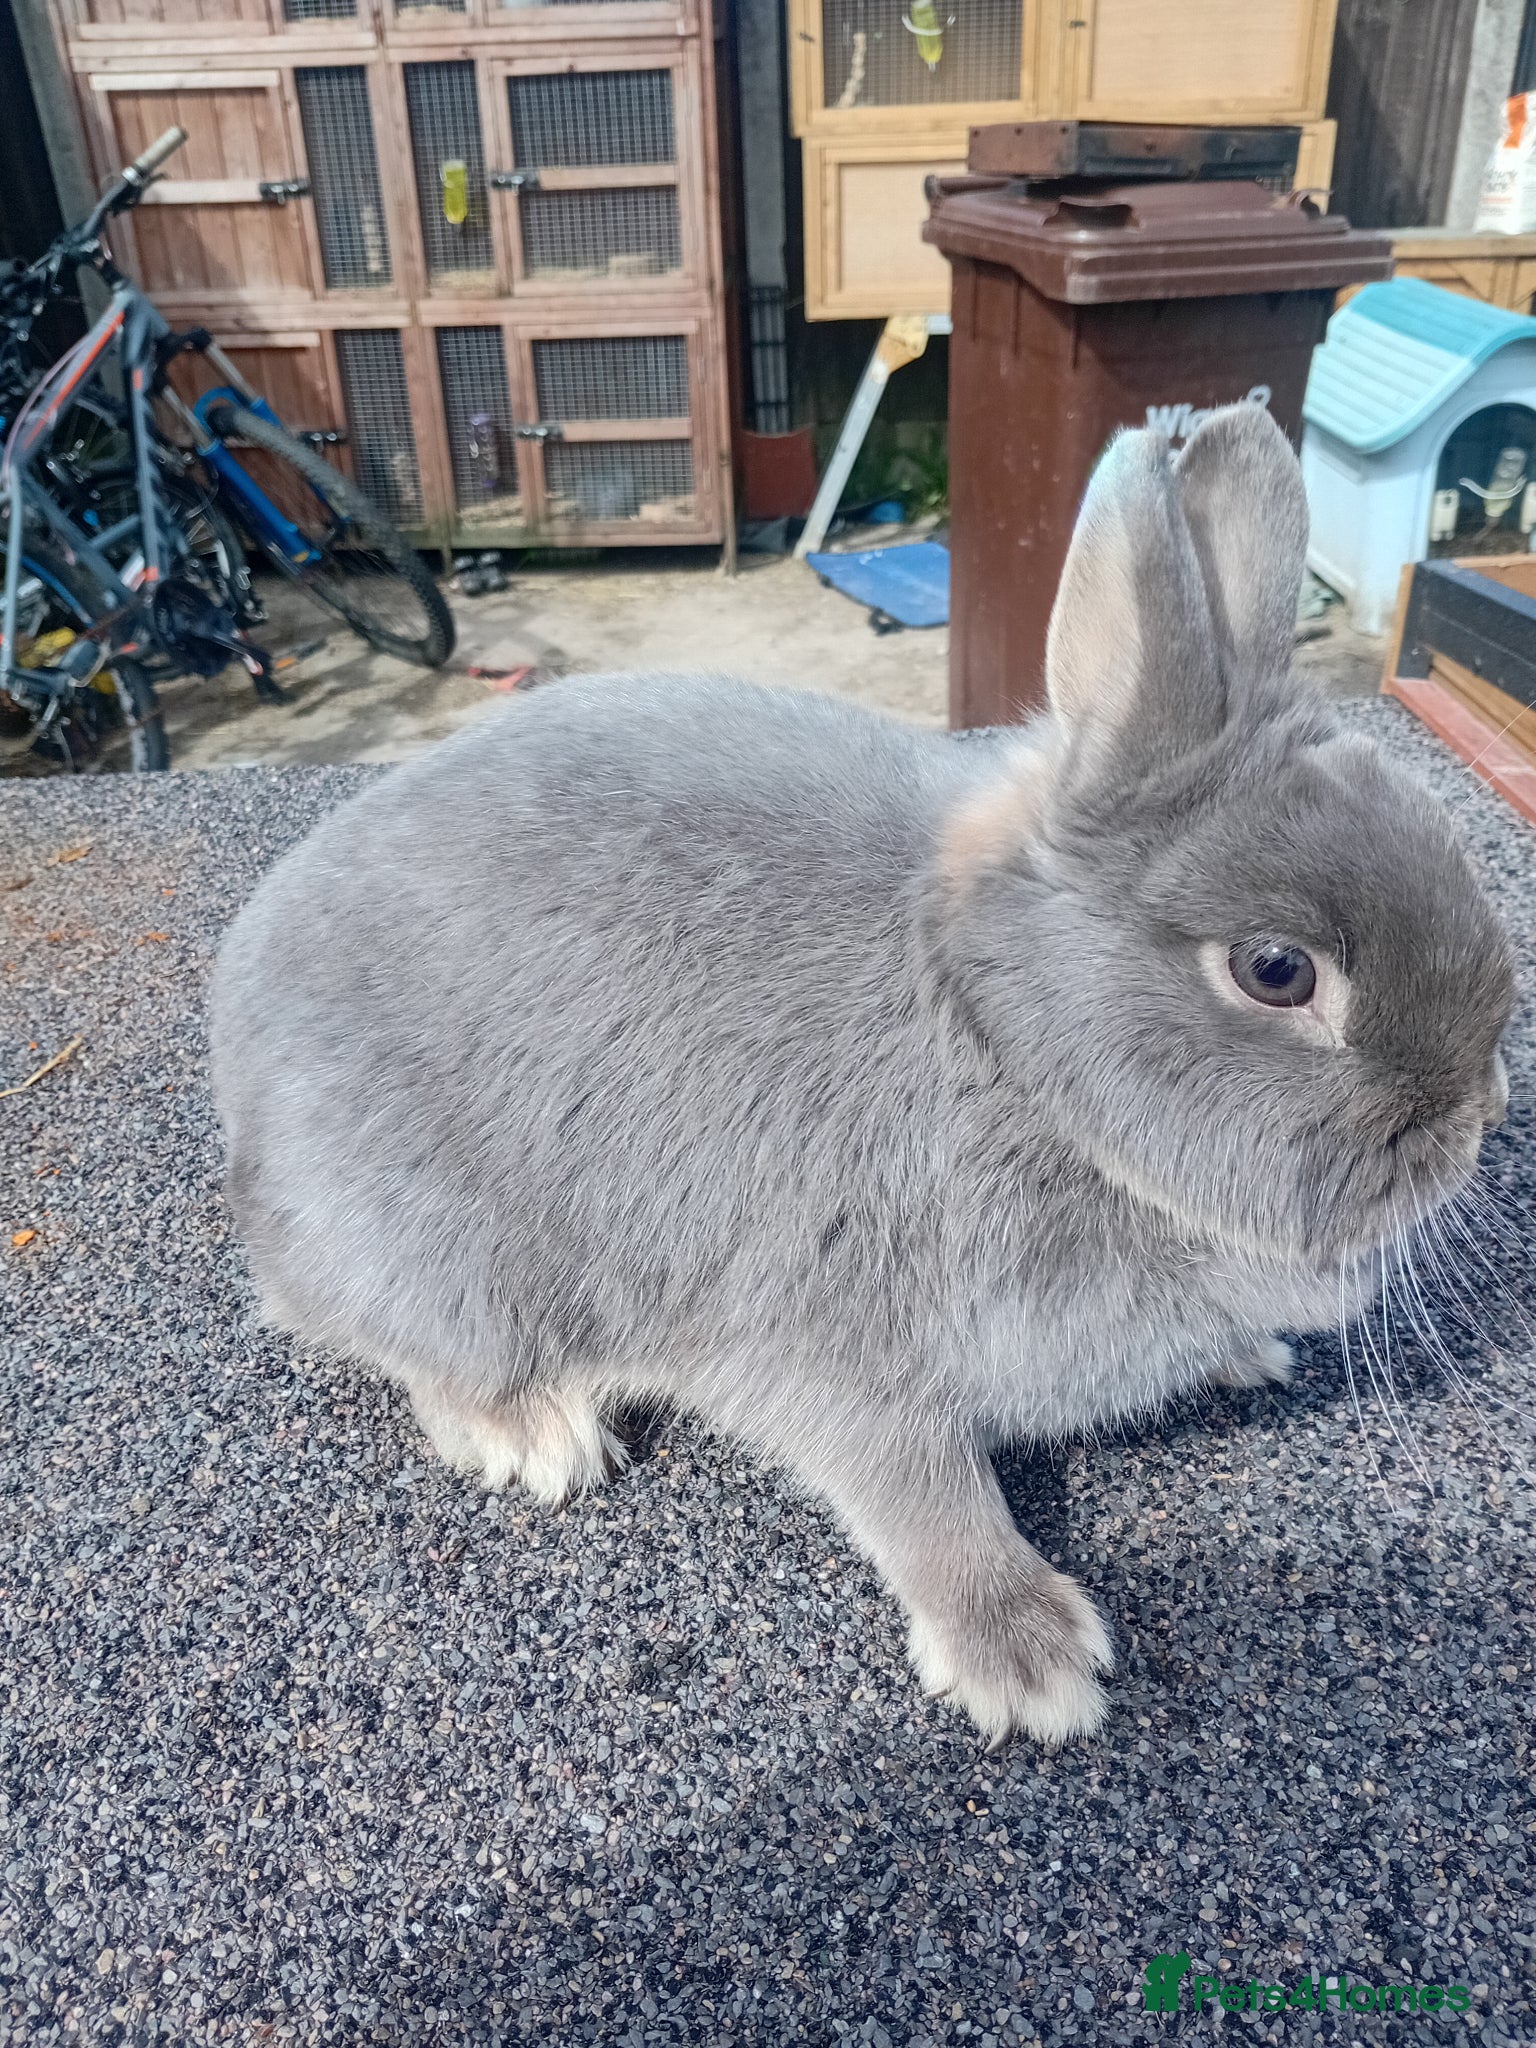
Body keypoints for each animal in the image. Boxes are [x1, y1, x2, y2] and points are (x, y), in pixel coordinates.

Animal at [210, 405, 1514, 1749]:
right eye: (1276, 971)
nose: (1480, 1115)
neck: (1012, 1053)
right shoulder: (834, 1329)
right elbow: (921, 1488)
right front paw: (1028, 1661)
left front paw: (1245, 1356)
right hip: (436, 1251)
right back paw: (533, 1431)